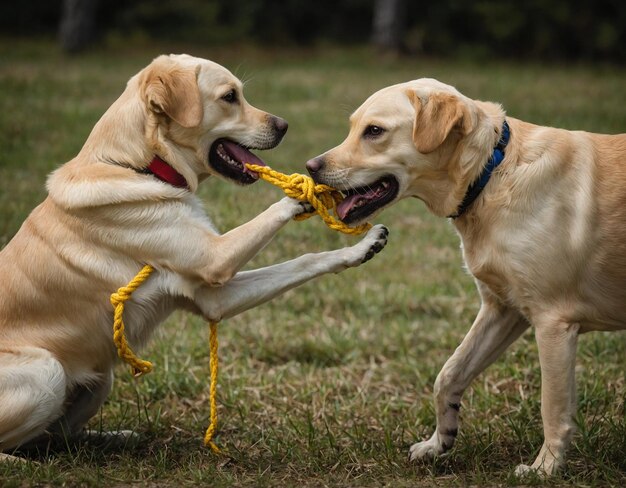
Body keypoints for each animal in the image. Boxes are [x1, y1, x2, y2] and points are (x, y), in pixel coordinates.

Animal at [0, 55, 388, 460]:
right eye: (230, 97)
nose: (284, 125)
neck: (137, 165)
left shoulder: (212, 297)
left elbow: (304, 260)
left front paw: (363, 247)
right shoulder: (214, 257)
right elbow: (276, 215)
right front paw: (300, 192)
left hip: (99, 378)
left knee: (52, 437)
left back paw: (115, 437)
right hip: (47, 372)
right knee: (25, 444)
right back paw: (23, 464)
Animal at [304, 78, 624, 474]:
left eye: (374, 131)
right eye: (353, 127)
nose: (310, 166)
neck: (491, 172)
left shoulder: (553, 322)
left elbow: (552, 407)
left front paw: (544, 468)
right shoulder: (502, 309)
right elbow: (448, 375)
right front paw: (439, 442)